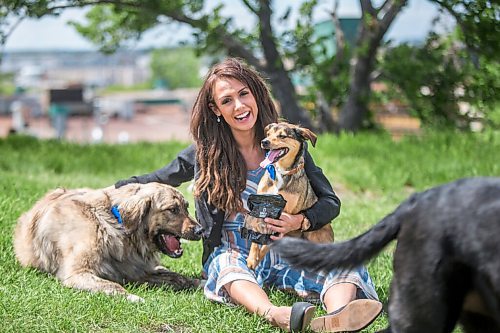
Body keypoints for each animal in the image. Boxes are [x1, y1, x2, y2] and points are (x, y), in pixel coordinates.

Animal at [14, 182, 204, 300]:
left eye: (186, 207)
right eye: (172, 209)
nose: (201, 230)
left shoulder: (136, 272)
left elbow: (178, 277)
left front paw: (200, 283)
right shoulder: (77, 273)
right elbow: (112, 285)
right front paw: (132, 297)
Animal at [244, 122, 334, 270]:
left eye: (282, 136)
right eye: (268, 134)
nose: (264, 142)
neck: (281, 172)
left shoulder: (283, 220)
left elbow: (269, 243)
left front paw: (257, 259)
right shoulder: (260, 205)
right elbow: (255, 237)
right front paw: (252, 259)